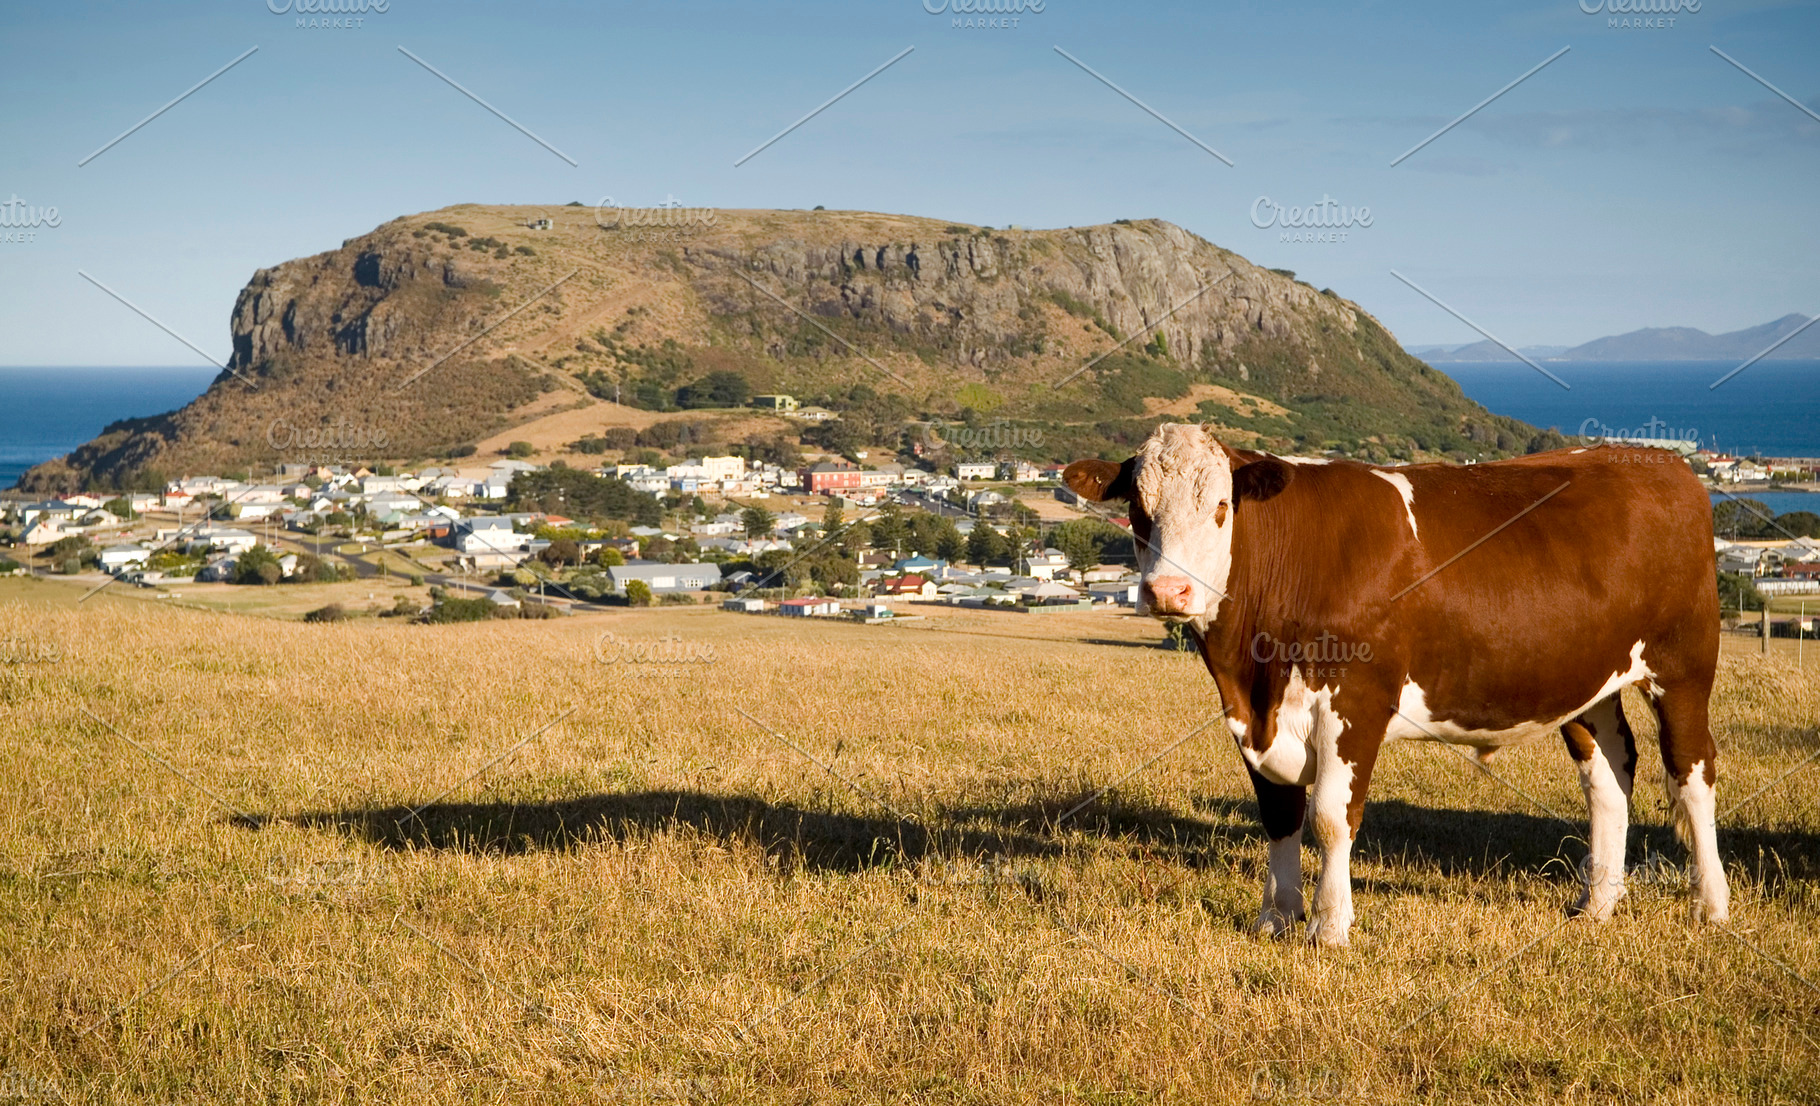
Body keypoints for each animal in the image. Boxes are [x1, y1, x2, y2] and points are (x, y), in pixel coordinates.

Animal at [1063, 423, 1730, 946]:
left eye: (1223, 506)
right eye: (1137, 510)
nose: (1167, 592)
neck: (1253, 670)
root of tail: (1660, 461)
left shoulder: (1355, 701)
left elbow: (1331, 816)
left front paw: (1329, 926)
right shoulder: (1256, 716)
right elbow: (1279, 815)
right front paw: (1275, 919)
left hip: (1683, 667)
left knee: (1692, 773)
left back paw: (1711, 904)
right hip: (1590, 682)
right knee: (1610, 777)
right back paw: (1597, 905)